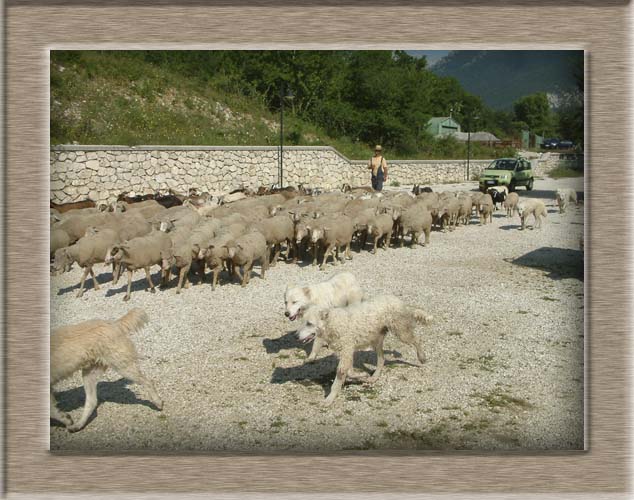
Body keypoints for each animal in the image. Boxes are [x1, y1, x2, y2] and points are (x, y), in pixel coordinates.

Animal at [296, 294, 432, 404]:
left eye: (309, 323)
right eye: (302, 322)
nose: (296, 336)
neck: (333, 323)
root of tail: (401, 302)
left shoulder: (346, 350)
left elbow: (340, 375)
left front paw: (330, 399)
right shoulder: (346, 352)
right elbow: (349, 371)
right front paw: (361, 375)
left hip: (401, 332)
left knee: (416, 340)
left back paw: (422, 357)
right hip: (376, 340)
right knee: (382, 359)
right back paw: (374, 377)